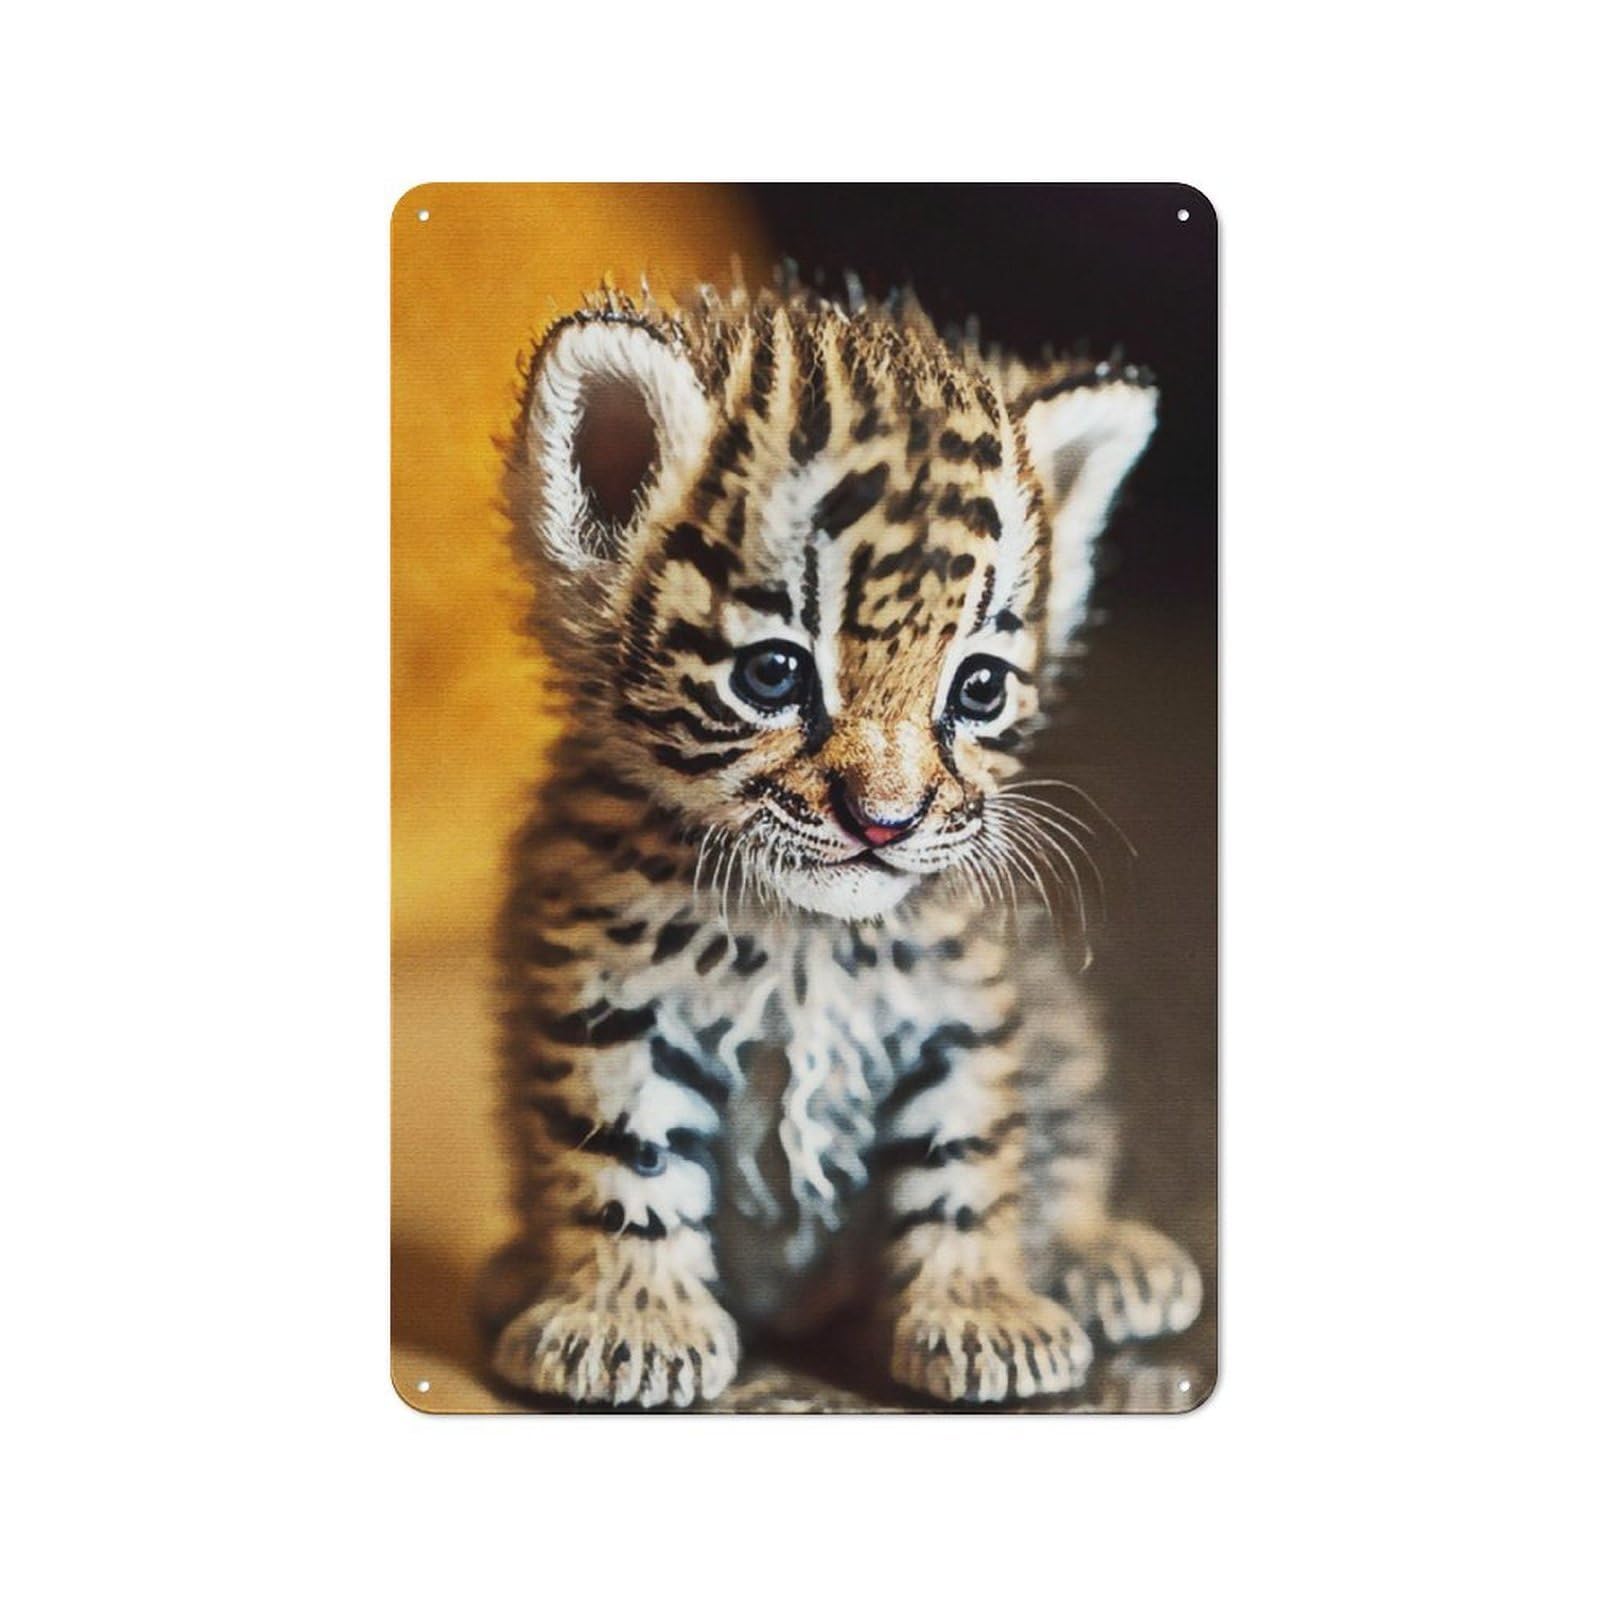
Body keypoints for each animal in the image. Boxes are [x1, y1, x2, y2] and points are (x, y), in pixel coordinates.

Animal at [488, 275, 1201, 1408]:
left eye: (978, 689)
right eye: (773, 674)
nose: (887, 818)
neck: (801, 935)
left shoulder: (964, 999)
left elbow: (970, 1154)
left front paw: (979, 1308)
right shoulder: (607, 992)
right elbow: (624, 1154)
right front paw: (631, 1319)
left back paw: (1104, 1257)